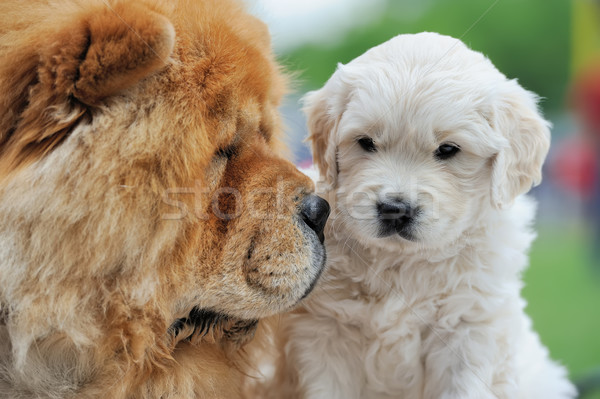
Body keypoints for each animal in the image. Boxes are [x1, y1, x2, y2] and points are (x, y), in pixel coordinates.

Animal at [276, 32, 576, 399]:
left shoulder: (467, 329)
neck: (402, 262)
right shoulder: (324, 334)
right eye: (366, 142)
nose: (395, 209)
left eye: (448, 150)